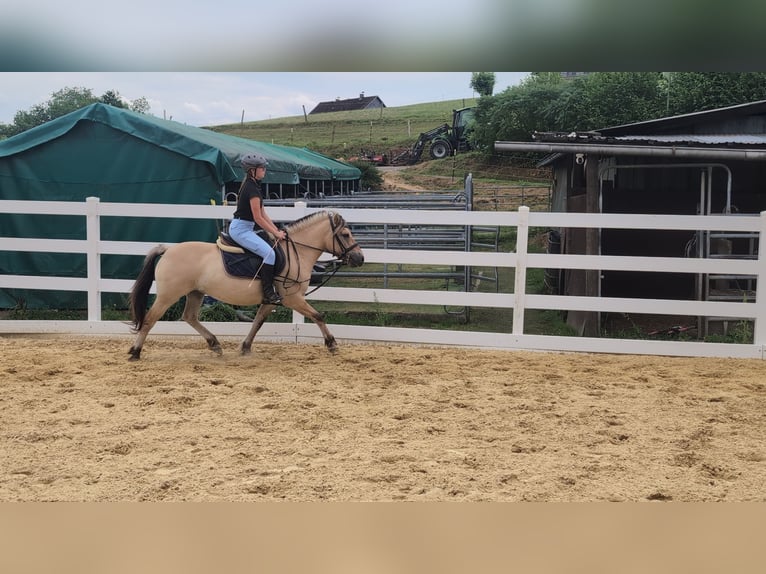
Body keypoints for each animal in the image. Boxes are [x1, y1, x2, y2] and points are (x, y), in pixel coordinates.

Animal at [127, 210, 364, 360]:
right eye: (345, 234)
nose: (359, 258)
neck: (297, 251)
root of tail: (168, 249)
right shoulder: (293, 298)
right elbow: (318, 316)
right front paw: (332, 344)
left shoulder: (271, 300)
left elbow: (258, 321)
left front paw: (245, 347)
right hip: (168, 295)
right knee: (149, 319)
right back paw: (135, 352)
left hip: (195, 292)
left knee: (190, 317)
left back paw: (215, 344)